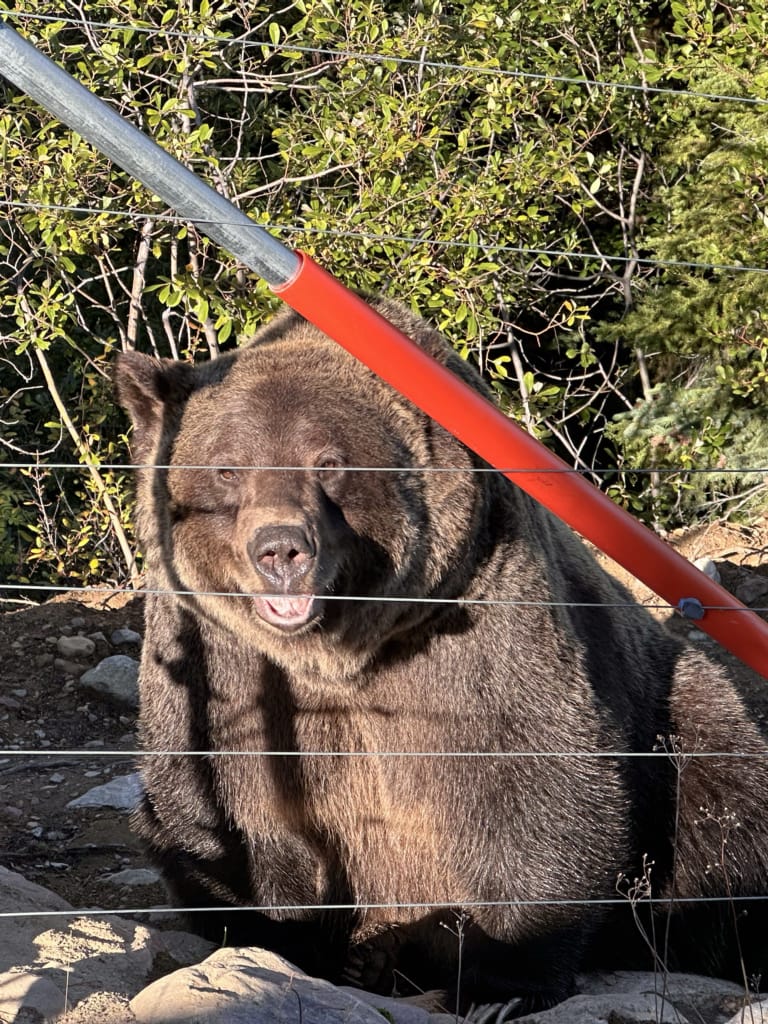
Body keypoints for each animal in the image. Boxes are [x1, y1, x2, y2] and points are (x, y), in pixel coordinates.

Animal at [115, 297, 768, 1016]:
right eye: (228, 466)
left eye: (329, 461)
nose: (280, 549)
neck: (342, 652)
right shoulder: (225, 659)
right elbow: (235, 810)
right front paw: (291, 948)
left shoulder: (478, 631)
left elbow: (531, 783)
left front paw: (498, 982)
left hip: (672, 714)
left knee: (722, 796)